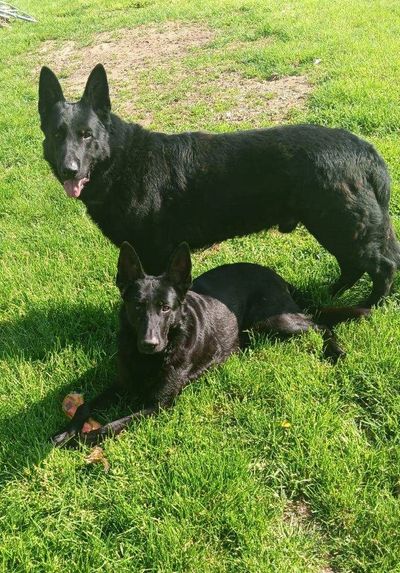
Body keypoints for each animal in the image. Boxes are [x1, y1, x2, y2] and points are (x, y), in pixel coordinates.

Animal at [52, 241, 368, 446]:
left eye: (165, 308)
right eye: (137, 306)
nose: (149, 344)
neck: (151, 360)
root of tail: (275, 274)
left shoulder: (159, 405)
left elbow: (111, 426)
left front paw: (85, 438)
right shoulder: (121, 383)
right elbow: (84, 405)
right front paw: (67, 432)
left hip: (273, 321)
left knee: (321, 324)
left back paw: (336, 351)